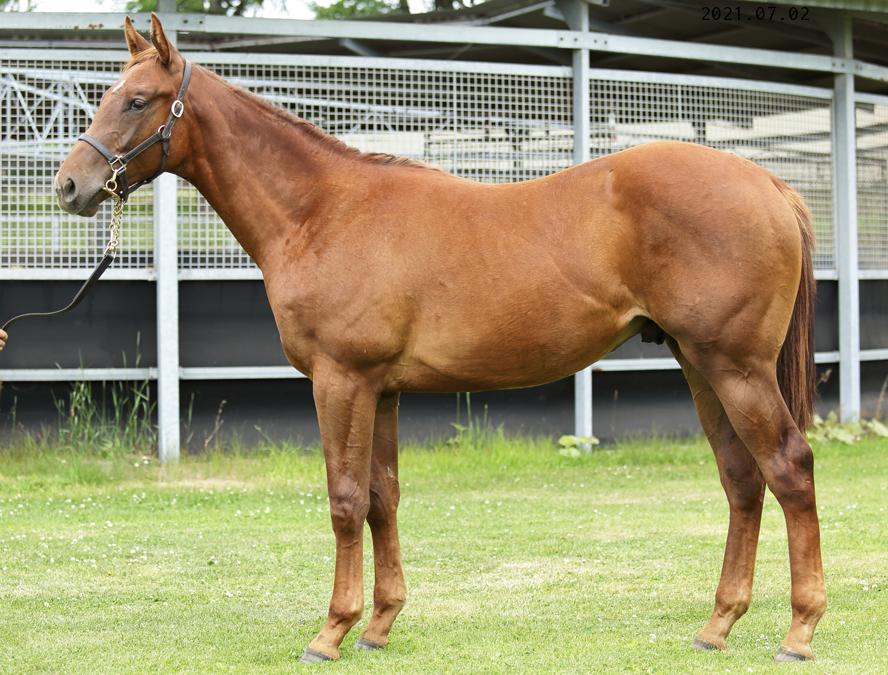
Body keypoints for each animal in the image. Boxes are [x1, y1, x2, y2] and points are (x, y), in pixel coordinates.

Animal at [54, 14, 824, 664]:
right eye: (107, 95)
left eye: (137, 101)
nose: (69, 186)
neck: (322, 210)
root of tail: (769, 184)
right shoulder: (382, 390)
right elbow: (382, 498)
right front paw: (379, 625)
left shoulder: (341, 380)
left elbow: (344, 499)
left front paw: (331, 632)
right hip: (700, 365)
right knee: (741, 479)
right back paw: (717, 625)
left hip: (736, 367)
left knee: (788, 468)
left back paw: (799, 630)